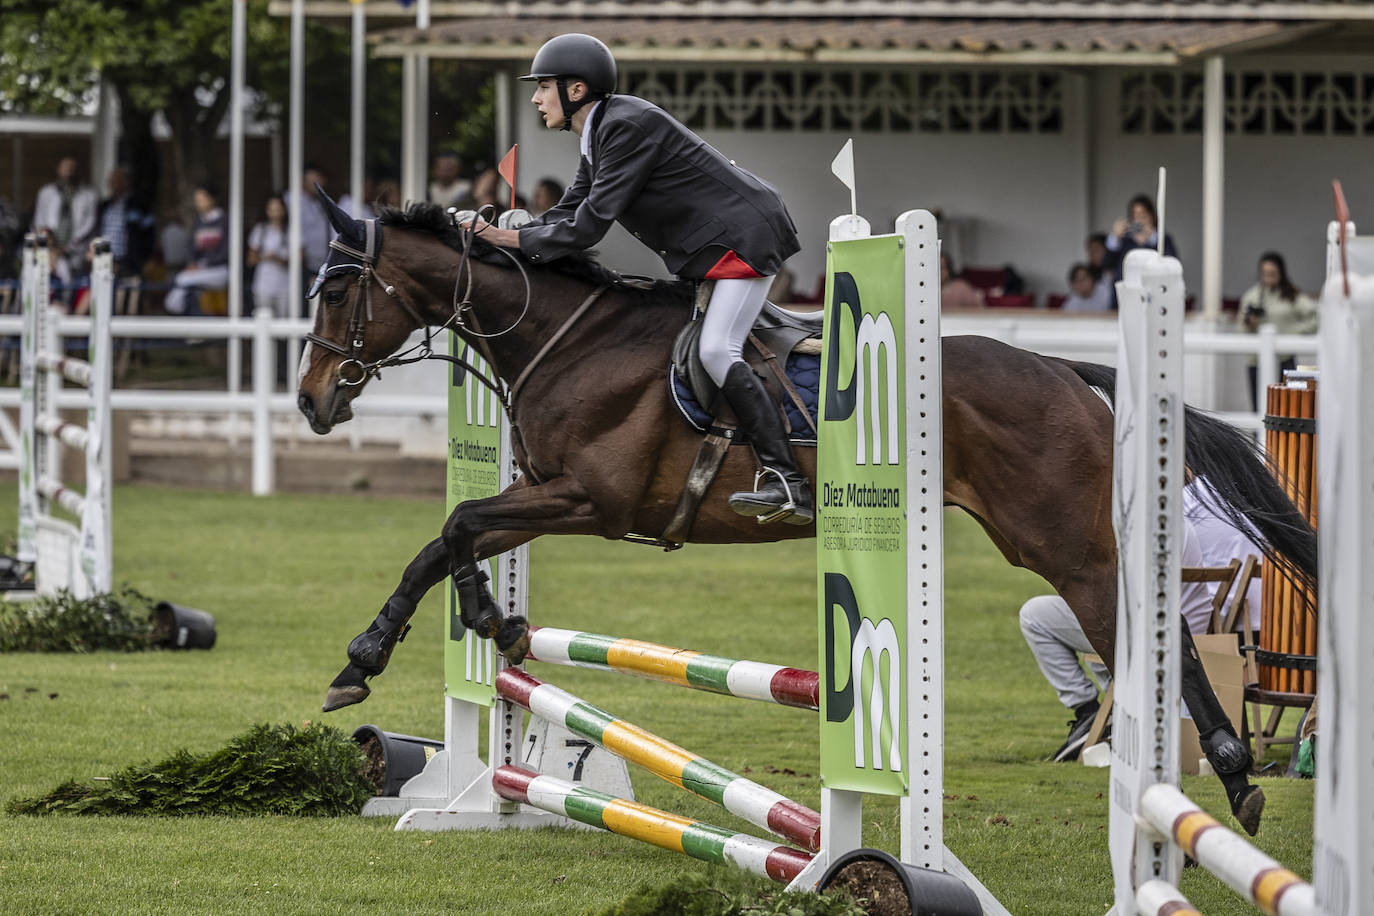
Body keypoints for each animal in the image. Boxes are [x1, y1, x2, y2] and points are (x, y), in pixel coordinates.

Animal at [300, 195, 1319, 840]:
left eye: (339, 291)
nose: (312, 401)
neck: (570, 339)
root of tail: (1067, 371)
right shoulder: (548, 495)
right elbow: (450, 538)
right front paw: (447, 635)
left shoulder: (592, 499)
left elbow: (460, 523)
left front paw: (399, 648)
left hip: (1067, 546)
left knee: (1154, 637)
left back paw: (1229, 775)